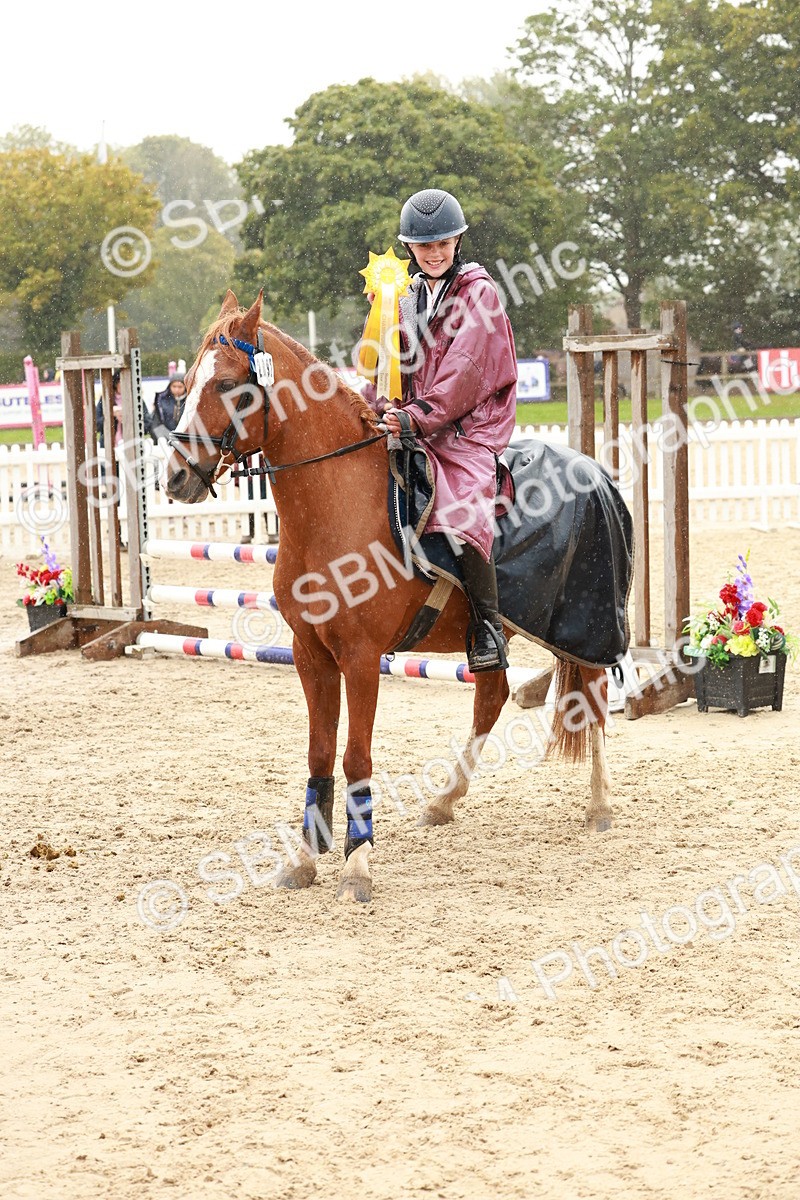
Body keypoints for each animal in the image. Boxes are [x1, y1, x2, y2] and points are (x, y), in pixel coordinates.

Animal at [165, 290, 615, 904]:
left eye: (230, 385)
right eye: (186, 384)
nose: (176, 476)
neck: (335, 503)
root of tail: (593, 469)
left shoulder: (360, 658)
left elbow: (356, 754)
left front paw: (357, 864)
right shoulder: (311, 654)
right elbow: (320, 752)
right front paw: (306, 858)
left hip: (584, 630)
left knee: (592, 701)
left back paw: (599, 806)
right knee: (492, 698)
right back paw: (444, 801)